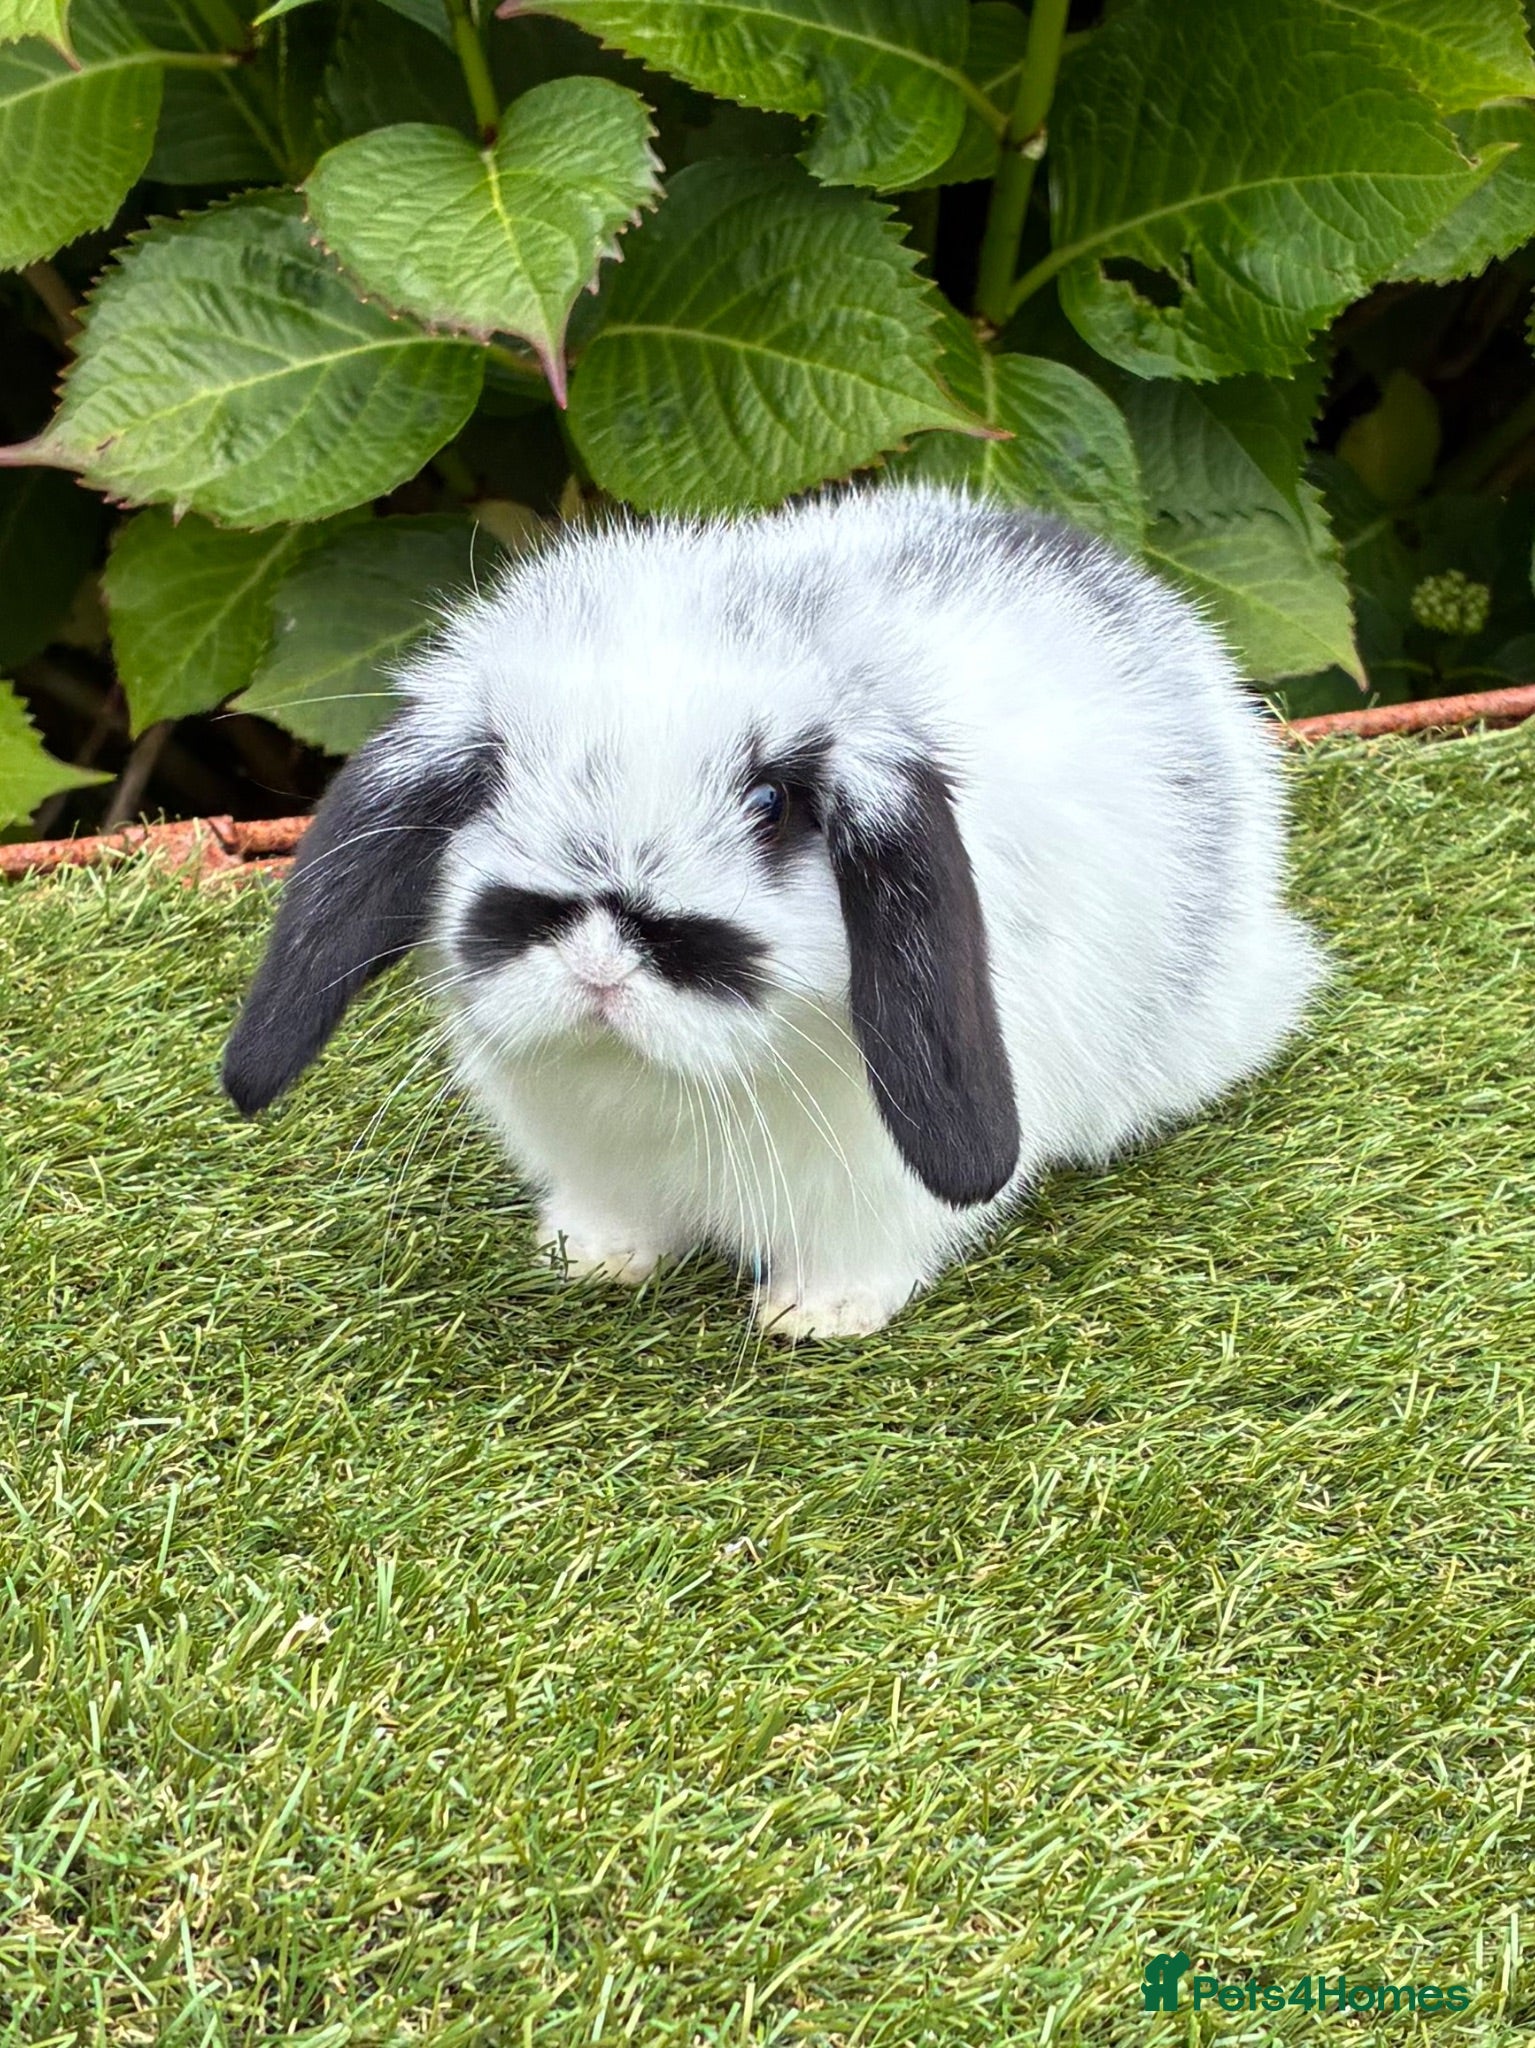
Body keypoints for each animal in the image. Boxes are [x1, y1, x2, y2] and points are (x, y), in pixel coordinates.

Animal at [222, 483, 1326, 1339]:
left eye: (771, 803)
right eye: (488, 776)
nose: (601, 956)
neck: (672, 1084)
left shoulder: (879, 1188)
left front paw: (814, 1316)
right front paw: (590, 1257)